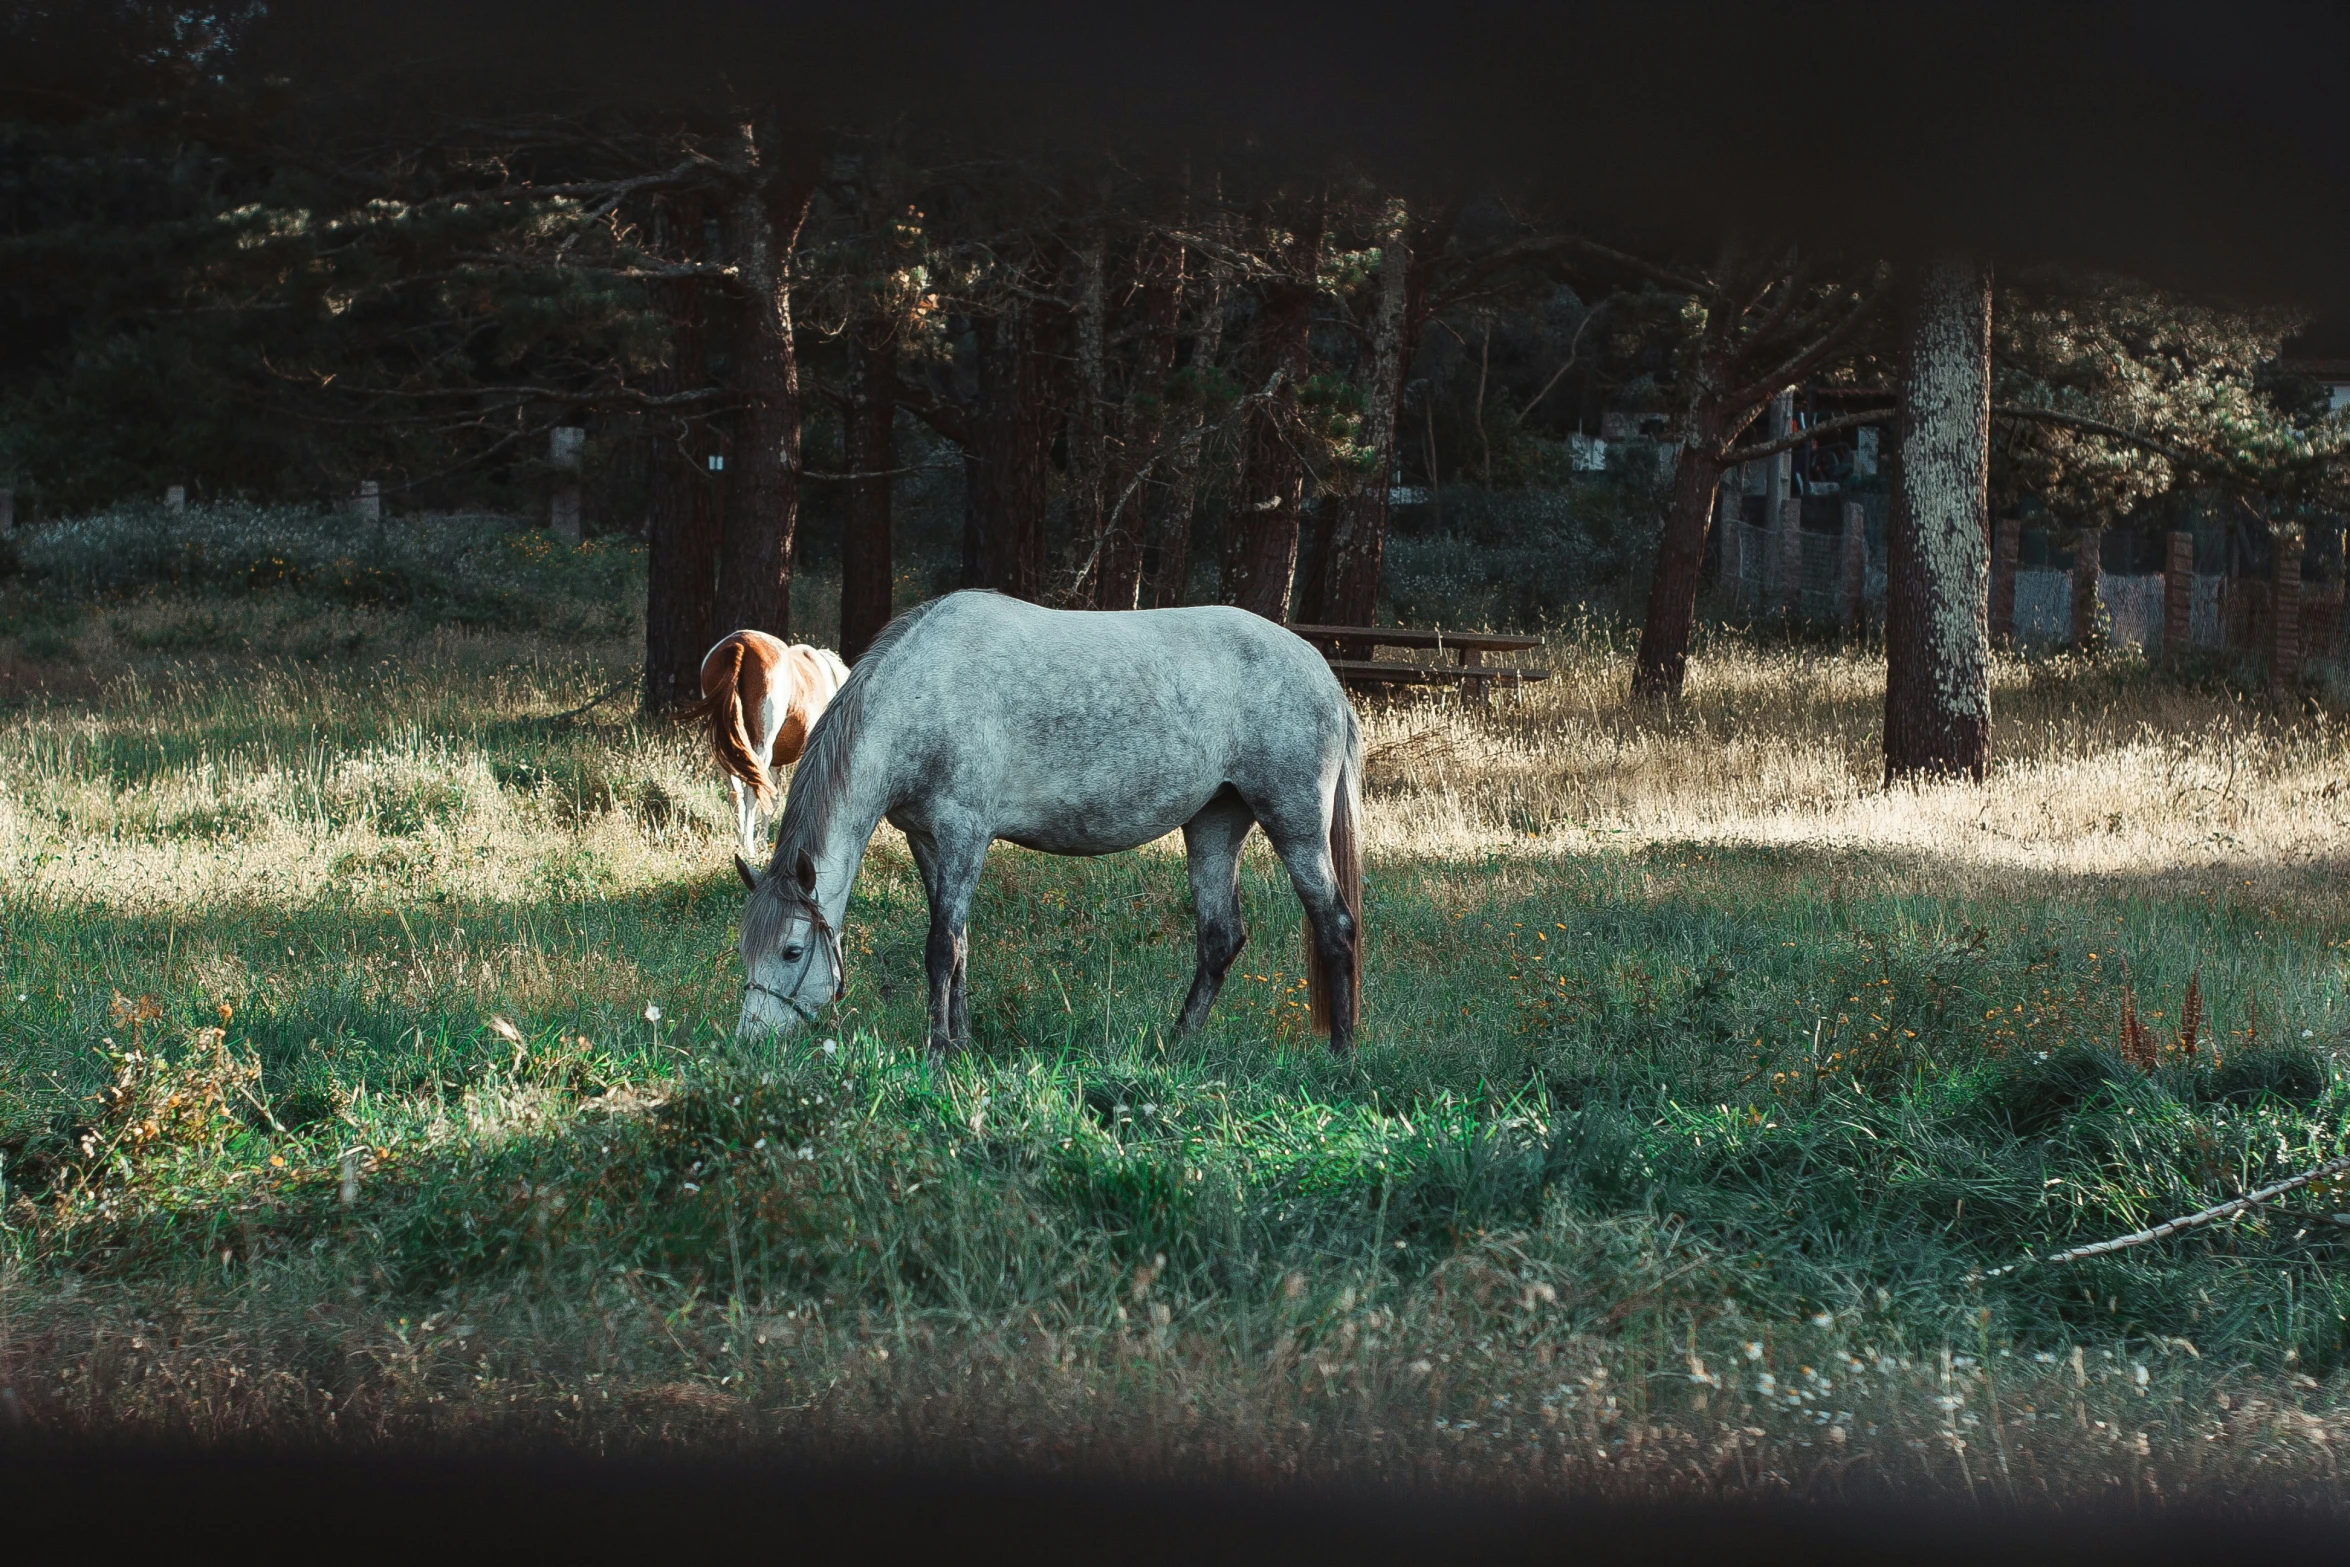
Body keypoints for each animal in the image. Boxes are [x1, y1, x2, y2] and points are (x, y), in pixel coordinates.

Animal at [695, 629, 855, 859]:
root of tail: (739, 643)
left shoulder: (775, 765)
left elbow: (774, 799)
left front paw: (764, 843)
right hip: (760, 748)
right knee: (753, 789)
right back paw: (749, 848)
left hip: (724, 750)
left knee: (737, 794)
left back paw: (741, 843)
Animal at [728, 594, 1363, 1061]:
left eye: (791, 951)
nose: (752, 1042)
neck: (920, 696)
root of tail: (1323, 674)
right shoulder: (927, 841)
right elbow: (959, 944)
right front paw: (960, 1042)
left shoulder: (964, 836)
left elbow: (941, 947)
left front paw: (936, 1052)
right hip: (1214, 825)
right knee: (1219, 940)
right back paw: (1174, 1047)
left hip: (1295, 824)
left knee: (1334, 925)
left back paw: (1340, 1053)